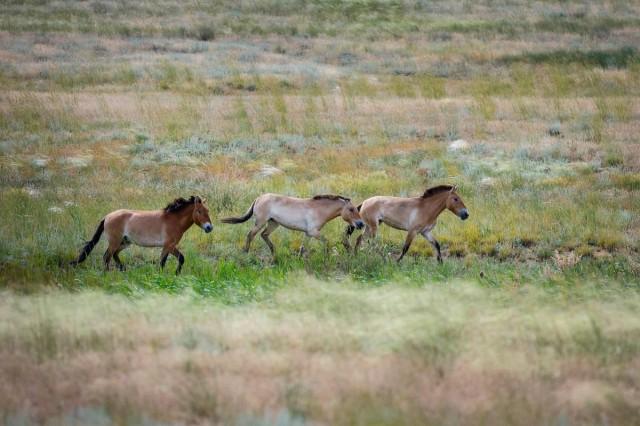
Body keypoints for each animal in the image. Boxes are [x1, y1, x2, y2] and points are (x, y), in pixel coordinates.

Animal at [70, 196, 213, 274]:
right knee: (107, 257)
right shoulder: (169, 245)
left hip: (125, 242)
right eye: (199, 211)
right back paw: (108, 274)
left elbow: (164, 262)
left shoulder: (167, 247)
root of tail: (107, 216)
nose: (209, 227)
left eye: (208, 210)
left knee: (114, 255)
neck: (174, 220)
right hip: (115, 242)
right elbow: (176, 259)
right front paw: (173, 274)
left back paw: (123, 270)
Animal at [221, 193, 364, 257]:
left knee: (264, 235)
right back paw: (246, 252)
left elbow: (303, 247)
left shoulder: (308, 233)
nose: (361, 224)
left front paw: (300, 260)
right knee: (251, 235)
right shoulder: (313, 232)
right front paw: (327, 256)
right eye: (351, 209)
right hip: (261, 222)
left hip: (273, 223)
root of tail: (259, 198)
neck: (318, 209)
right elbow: (327, 241)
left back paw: (274, 252)